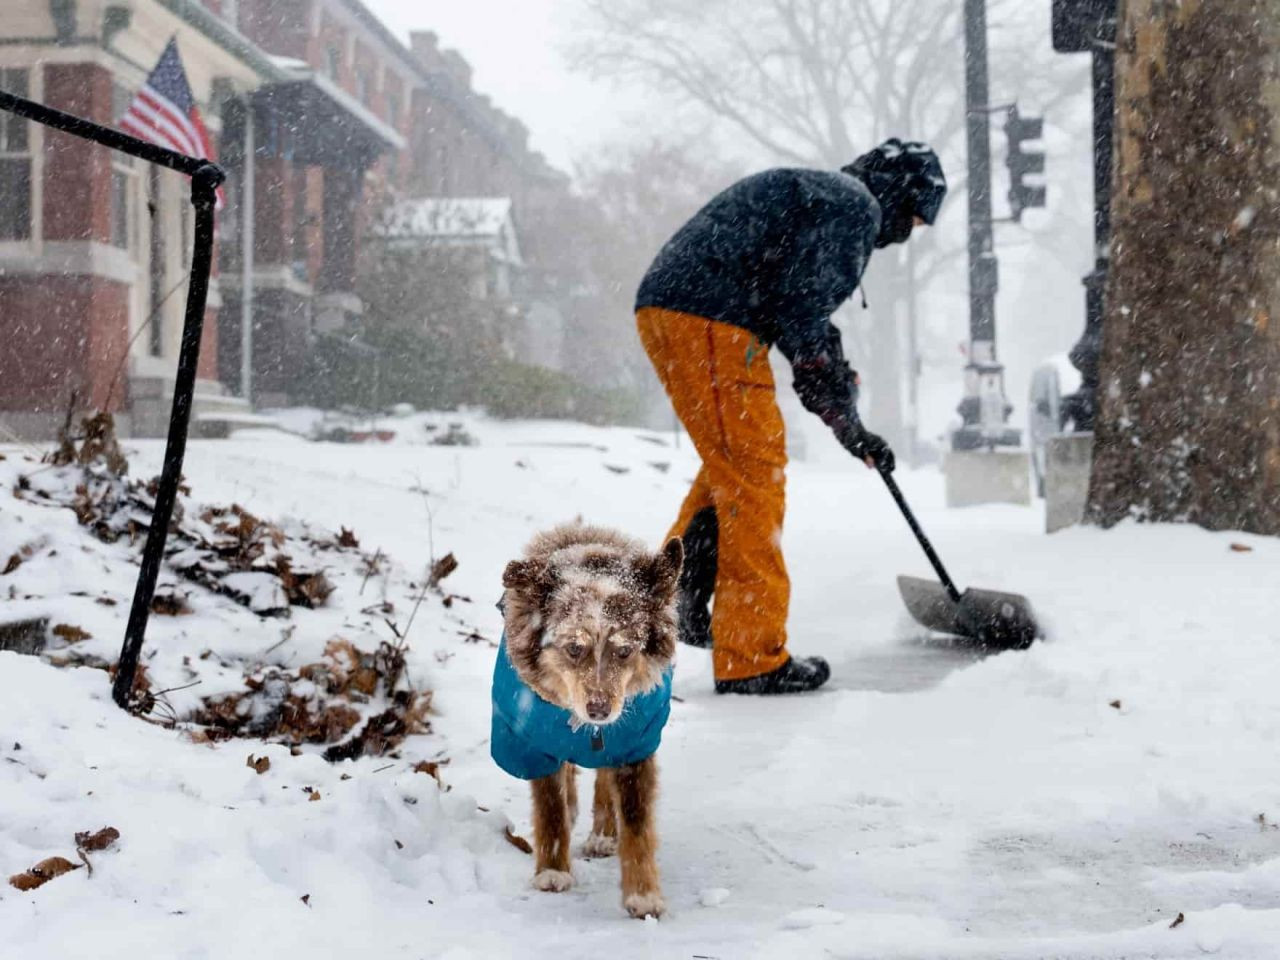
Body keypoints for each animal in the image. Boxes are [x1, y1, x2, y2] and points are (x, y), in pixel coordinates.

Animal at [494, 522, 686, 921]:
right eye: (573, 648)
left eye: (625, 650)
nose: (599, 710)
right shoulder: (534, 740)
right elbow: (550, 804)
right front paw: (552, 871)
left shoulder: (635, 743)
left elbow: (636, 819)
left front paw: (643, 895)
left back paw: (603, 834)